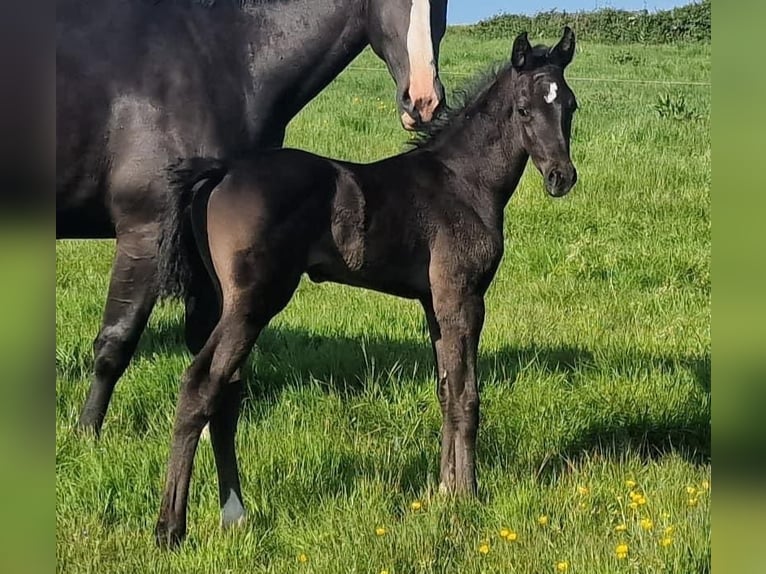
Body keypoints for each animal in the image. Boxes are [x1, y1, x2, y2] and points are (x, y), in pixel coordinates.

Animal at [58, 0, 450, 434]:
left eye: (444, 5)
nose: (423, 100)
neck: (222, 56)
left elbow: (204, 341)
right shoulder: (145, 232)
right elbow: (116, 340)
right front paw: (87, 433)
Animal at [158, 28, 584, 548]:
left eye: (570, 105)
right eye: (524, 109)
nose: (561, 177)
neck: (464, 181)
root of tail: (221, 172)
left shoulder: (434, 304)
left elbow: (445, 390)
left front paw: (442, 490)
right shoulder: (463, 299)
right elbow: (467, 395)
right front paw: (467, 494)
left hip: (228, 304)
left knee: (226, 393)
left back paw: (232, 515)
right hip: (254, 303)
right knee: (200, 385)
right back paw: (170, 528)